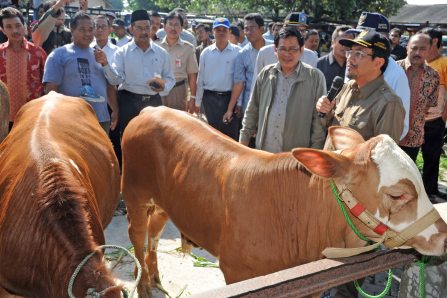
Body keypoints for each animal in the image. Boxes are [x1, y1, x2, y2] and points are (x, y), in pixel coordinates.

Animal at [122, 106, 447, 296]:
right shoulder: (237, 273)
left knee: (155, 230)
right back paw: (143, 285)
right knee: (137, 235)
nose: (444, 237)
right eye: (398, 194)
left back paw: (152, 276)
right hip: (134, 191)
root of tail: (151, 109)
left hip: (165, 201)